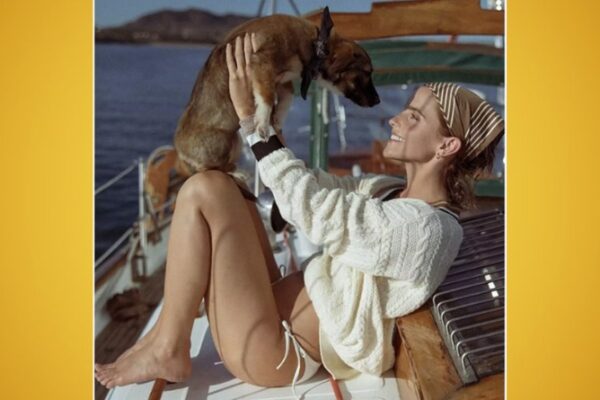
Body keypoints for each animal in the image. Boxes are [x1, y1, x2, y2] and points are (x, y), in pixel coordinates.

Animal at [174, 7, 380, 175]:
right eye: (368, 73)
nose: (378, 101)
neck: (315, 46)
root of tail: (180, 152)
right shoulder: (262, 64)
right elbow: (266, 97)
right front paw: (264, 124)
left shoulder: (284, 81)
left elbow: (285, 99)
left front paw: (277, 119)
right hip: (222, 142)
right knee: (209, 168)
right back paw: (237, 172)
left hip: (235, 142)